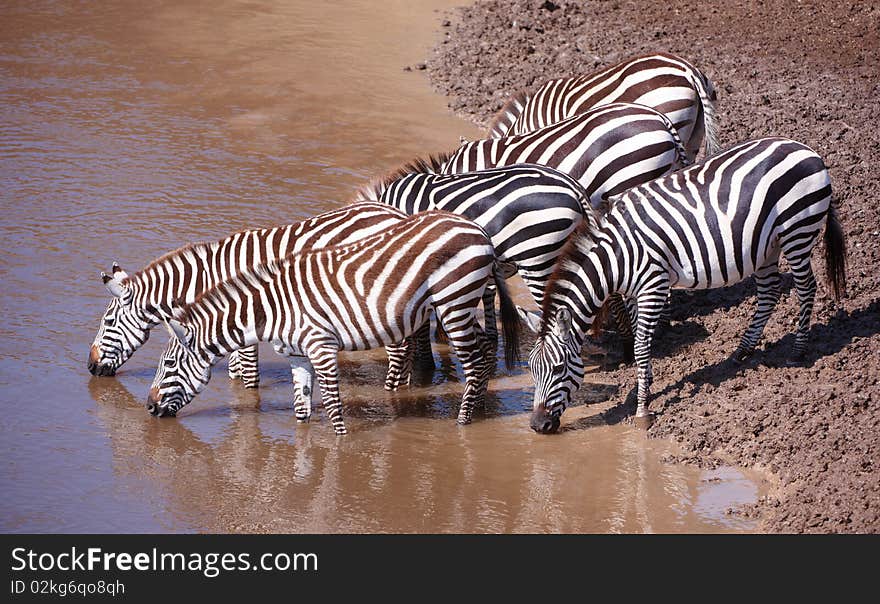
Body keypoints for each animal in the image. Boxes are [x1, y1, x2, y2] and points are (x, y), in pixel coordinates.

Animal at [89, 204, 406, 410]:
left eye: (108, 323)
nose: (91, 368)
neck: (207, 278)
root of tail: (396, 214)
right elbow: (234, 371)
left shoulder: (244, 319)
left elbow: (249, 375)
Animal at [147, 211, 520, 434]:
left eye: (168, 365)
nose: (149, 407)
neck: (272, 310)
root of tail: (479, 230)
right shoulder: (297, 355)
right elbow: (302, 408)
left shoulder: (321, 347)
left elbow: (332, 406)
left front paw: (338, 449)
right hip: (460, 304)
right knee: (486, 351)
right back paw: (480, 409)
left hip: (454, 302)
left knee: (474, 362)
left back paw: (463, 422)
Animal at [516, 137, 844, 432]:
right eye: (531, 369)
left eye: (558, 368)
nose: (537, 426)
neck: (616, 257)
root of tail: (805, 148)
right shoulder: (635, 292)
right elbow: (640, 336)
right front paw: (645, 383)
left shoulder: (653, 284)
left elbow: (641, 344)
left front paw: (642, 411)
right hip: (767, 246)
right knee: (769, 292)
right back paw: (742, 351)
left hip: (797, 231)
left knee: (806, 287)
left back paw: (798, 352)